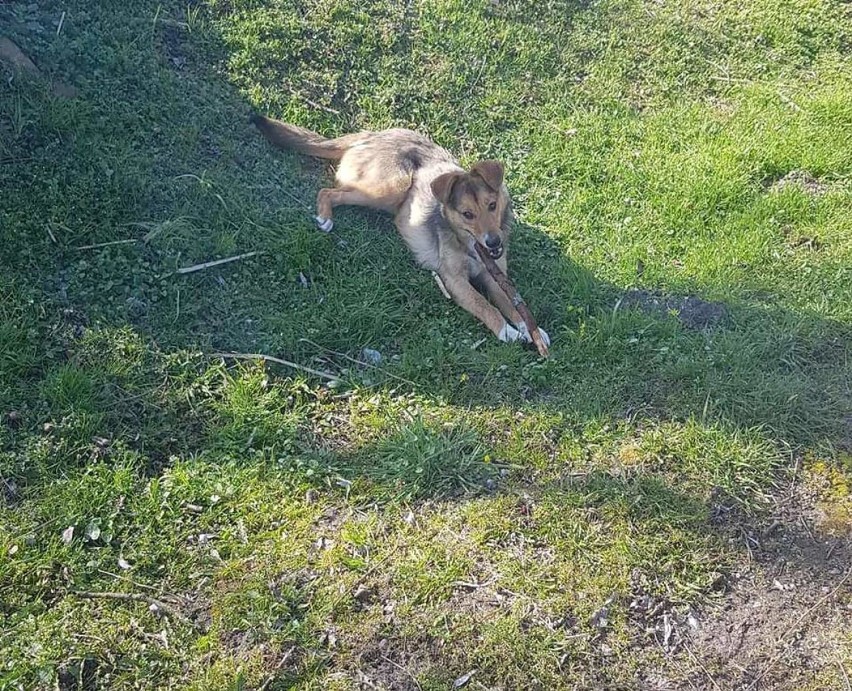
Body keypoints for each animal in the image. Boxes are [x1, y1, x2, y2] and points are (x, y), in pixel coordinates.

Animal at [250, 117, 548, 352]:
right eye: (467, 215)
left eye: (492, 205)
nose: (494, 242)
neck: (470, 246)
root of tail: (372, 134)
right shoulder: (455, 281)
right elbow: (485, 305)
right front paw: (507, 331)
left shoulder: (495, 276)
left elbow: (511, 303)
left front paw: (529, 329)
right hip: (393, 186)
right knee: (329, 191)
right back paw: (325, 218)